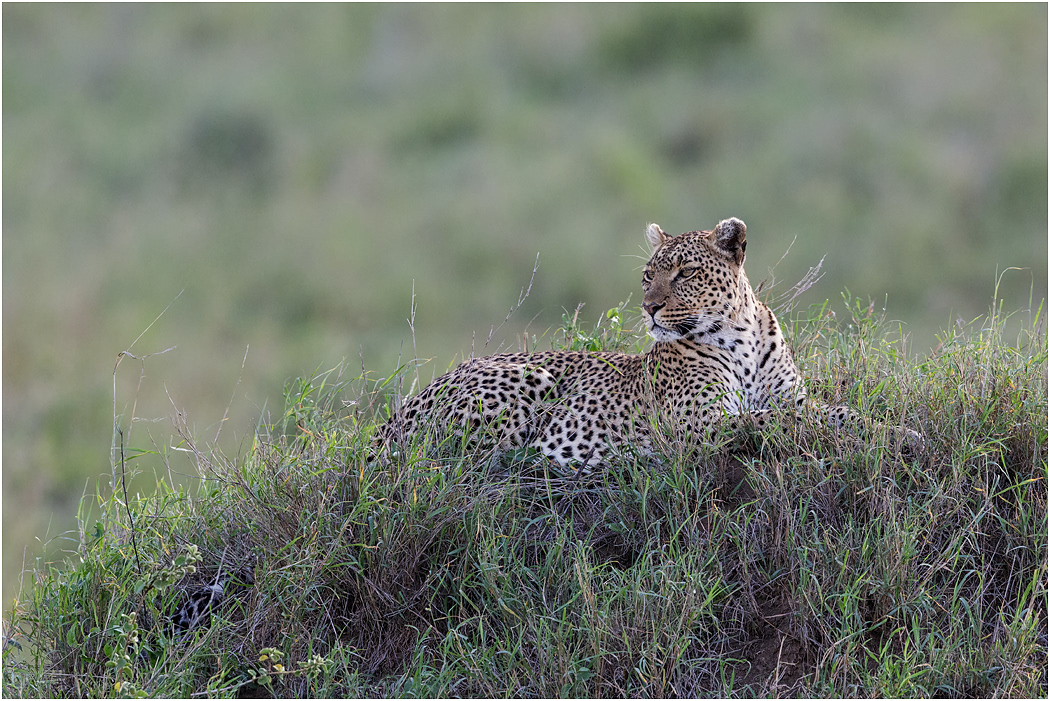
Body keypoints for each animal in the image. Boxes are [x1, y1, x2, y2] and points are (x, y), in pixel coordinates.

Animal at [378, 217, 922, 469]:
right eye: (647, 275)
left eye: (684, 273)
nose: (649, 308)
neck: (742, 337)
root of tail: (392, 417)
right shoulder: (702, 423)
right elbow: (779, 420)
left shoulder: (794, 397)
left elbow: (836, 412)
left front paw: (899, 433)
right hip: (525, 383)